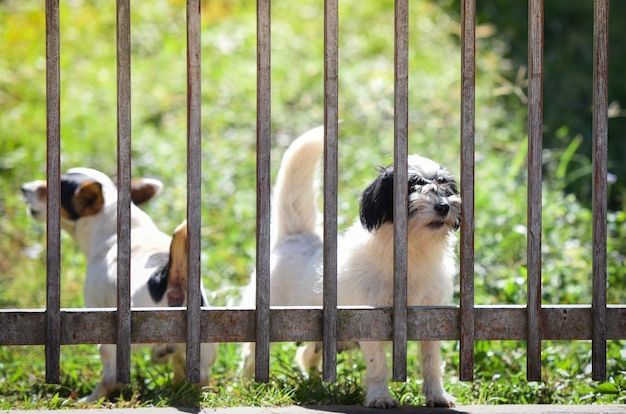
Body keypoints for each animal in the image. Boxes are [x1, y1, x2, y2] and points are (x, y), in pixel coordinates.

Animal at [21, 167, 217, 402]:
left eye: (46, 189)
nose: (24, 188)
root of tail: (167, 278)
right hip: (202, 348)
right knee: (196, 374)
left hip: (112, 345)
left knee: (110, 378)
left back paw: (90, 400)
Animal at [239, 129, 458, 408]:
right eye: (412, 186)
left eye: (445, 185)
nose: (443, 206)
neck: (412, 251)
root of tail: (295, 236)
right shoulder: (368, 320)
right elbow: (378, 366)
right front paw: (380, 396)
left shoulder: (431, 318)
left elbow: (431, 363)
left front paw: (437, 395)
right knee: (251, 354)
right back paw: (247, 384)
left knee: (306, 354)